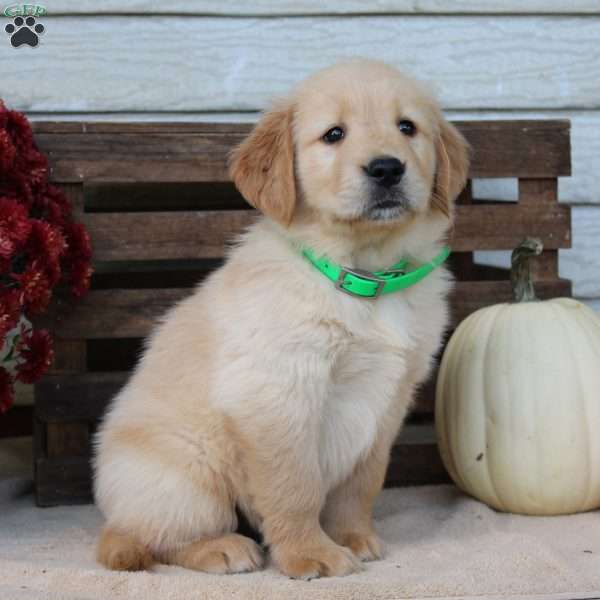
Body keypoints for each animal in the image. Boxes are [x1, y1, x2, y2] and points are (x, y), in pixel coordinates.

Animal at [94, 58, 468, 580]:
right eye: (334, 134)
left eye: (407, 127)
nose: (387, 168)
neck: (362, 278)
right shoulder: (280, 393)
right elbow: (294, 487)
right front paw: (310, 554)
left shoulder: (389, 400)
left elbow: (362, 482)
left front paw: (353, 536)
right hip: (187, 475)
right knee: (154, 537)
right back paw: (222, 548)